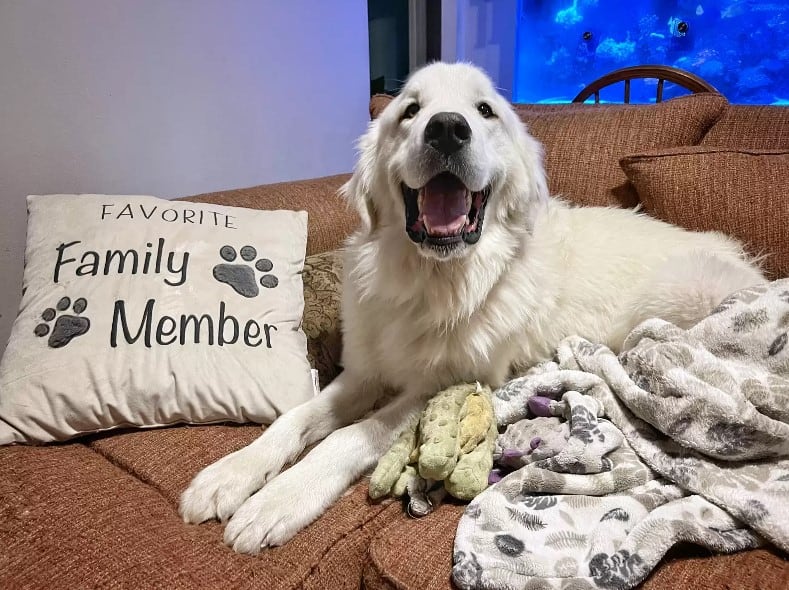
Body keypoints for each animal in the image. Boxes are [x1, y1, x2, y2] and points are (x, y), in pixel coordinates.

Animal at [180, 63, 764, 556]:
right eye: (409, 111)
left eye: (485, 111)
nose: (446, 128)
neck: (435, 280)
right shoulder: (367, 370)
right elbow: (296, 418)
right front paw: (231, 474)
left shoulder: (444, 384)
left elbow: (346, 438)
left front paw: (277, 501)